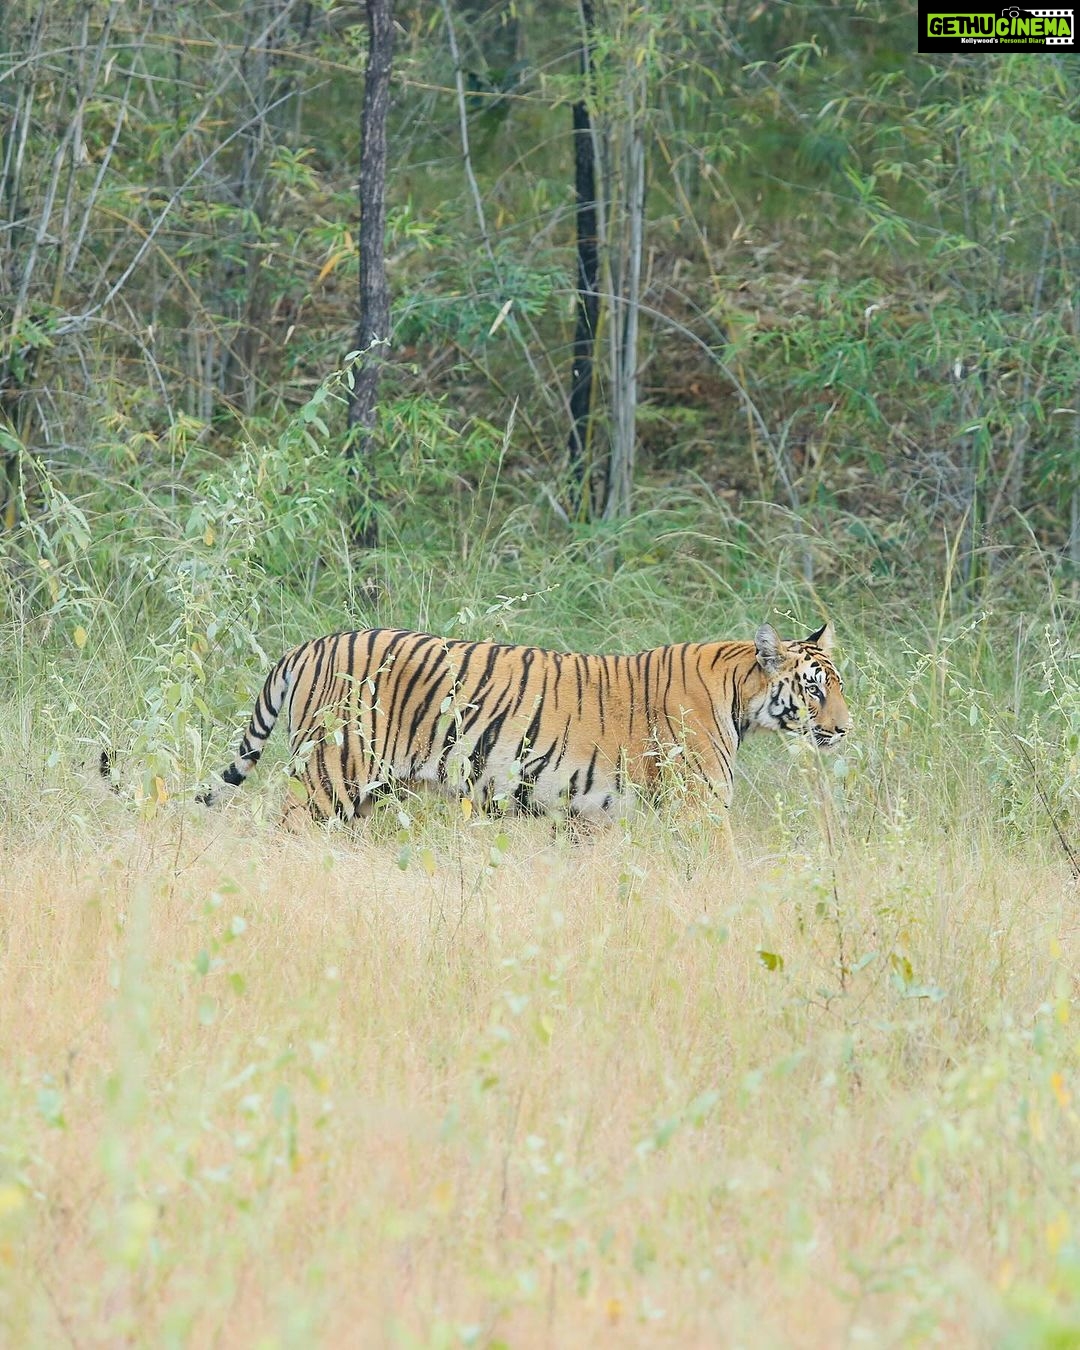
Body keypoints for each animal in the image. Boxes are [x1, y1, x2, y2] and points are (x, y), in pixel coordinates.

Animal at [202, 621, 849, 825]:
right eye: (814, 689)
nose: (845, 730)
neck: (742, 695)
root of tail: (311, 644)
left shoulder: (593, 815)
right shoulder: (701, 806)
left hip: (364, 792)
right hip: (328, 776)